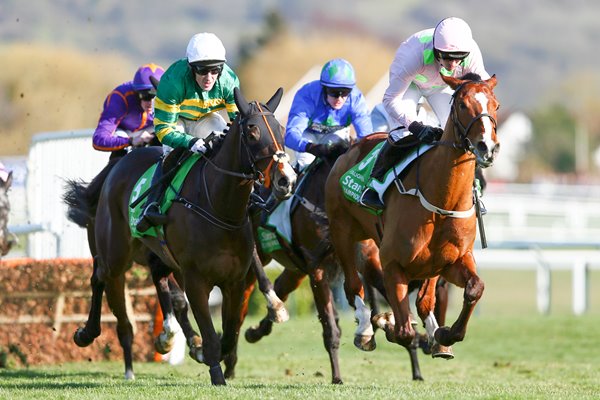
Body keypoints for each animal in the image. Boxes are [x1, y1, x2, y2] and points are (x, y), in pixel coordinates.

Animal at [63, 88, 298, 384]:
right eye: (252, 133)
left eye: (280, 130)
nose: (286, 180)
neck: (219, 206)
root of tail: (118, 166)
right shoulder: (195, 279)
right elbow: (209, 334)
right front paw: (216, 374)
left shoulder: (233, 280)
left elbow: (229, 333)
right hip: (114, 253)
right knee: (100, 277)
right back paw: (87, 334)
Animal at [326, 73, 500, 358]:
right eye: (463, 105)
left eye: (496, 105)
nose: (487, 147)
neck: (441, 201)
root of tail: (352, 147)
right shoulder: (392, 263)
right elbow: (403, 331)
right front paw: (386, 323)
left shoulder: (452, 261)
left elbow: (474, 288)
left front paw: (445, 334)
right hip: (343, 232)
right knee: (353, 286)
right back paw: (365, 329)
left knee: (423, 300)